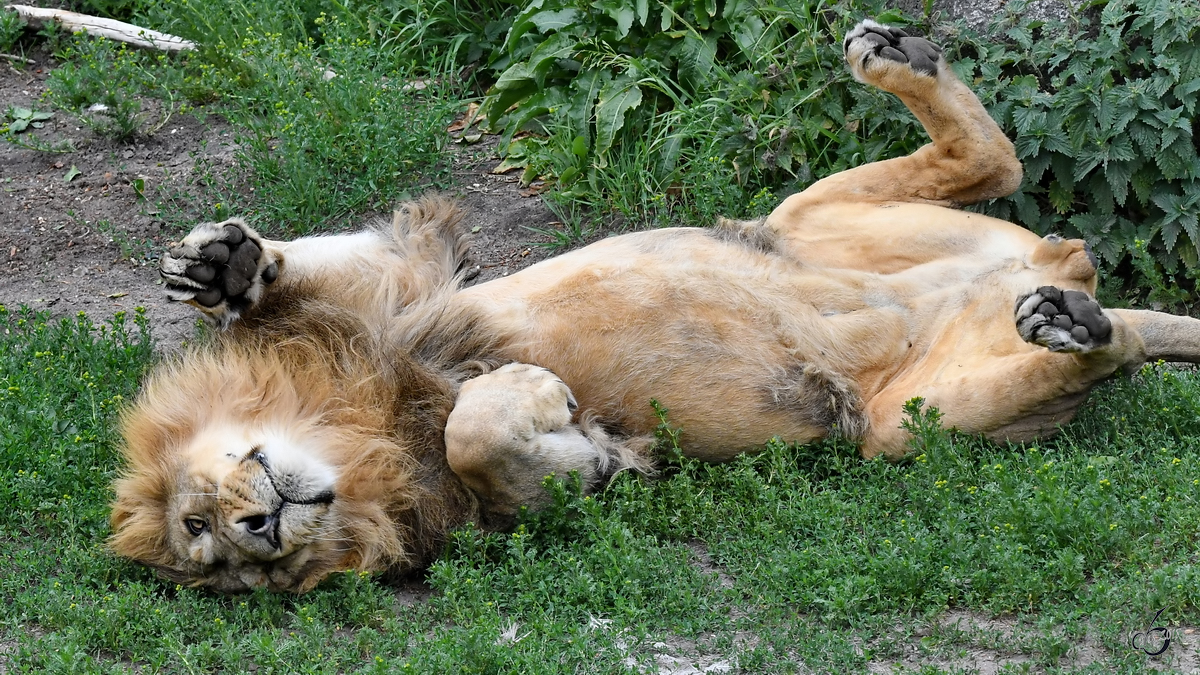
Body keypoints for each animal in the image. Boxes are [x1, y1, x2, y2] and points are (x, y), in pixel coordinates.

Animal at [108, 21, 1200, 588]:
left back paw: (896, 56)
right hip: (904, 424)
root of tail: (1030, 269)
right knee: (1108, 336)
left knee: (996, 161)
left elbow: (344, 282)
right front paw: (548, 418)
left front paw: (222, 268)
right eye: (216, 557)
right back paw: (1070, 323)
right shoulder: (507, 499)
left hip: (804, 215)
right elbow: (491, 442)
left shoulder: (406, 290)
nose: (259, 526)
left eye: (205, 513)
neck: (363, 429)